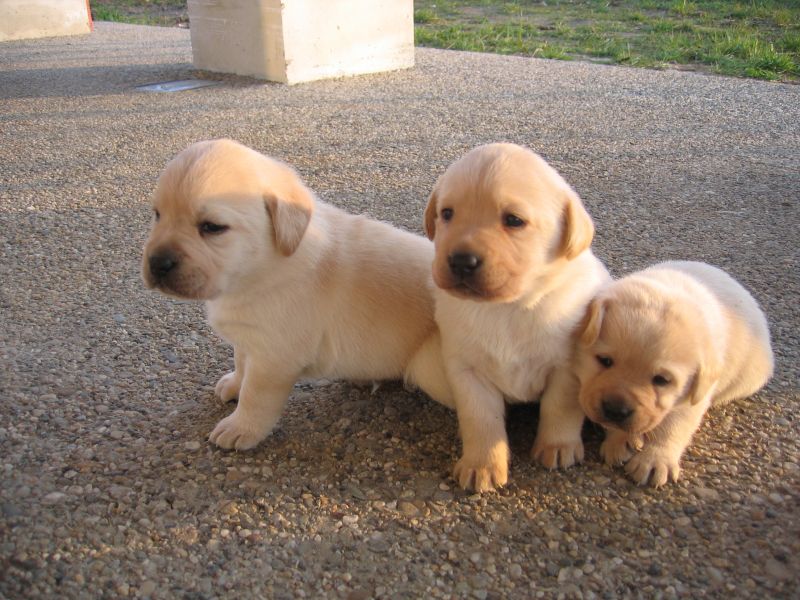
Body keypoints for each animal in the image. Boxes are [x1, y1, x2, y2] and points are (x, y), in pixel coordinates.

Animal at [145, 139, 454, 450]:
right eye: (157, 214)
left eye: (212, 227)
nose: (157, 264)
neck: (262, 268)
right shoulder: (249, 337)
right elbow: (241, 361)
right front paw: (234, 384)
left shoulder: (274, 356)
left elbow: (255, 396)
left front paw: (240, 427)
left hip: (428, 365)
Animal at [424, 143, 608, 490]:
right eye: (447, 214)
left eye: (513, 220)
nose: (462, 261)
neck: (507, 307)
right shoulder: (467, 371)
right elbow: (480, 419)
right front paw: (481, 464)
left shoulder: (566, 368)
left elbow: (559, 407)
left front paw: (557, 445)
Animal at [576, 260, 776, 486]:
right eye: (605, 360)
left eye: (662, 380)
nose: (615, 410)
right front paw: (621, 440)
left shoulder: (693, 396)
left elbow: (674, 426)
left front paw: (655, 459)